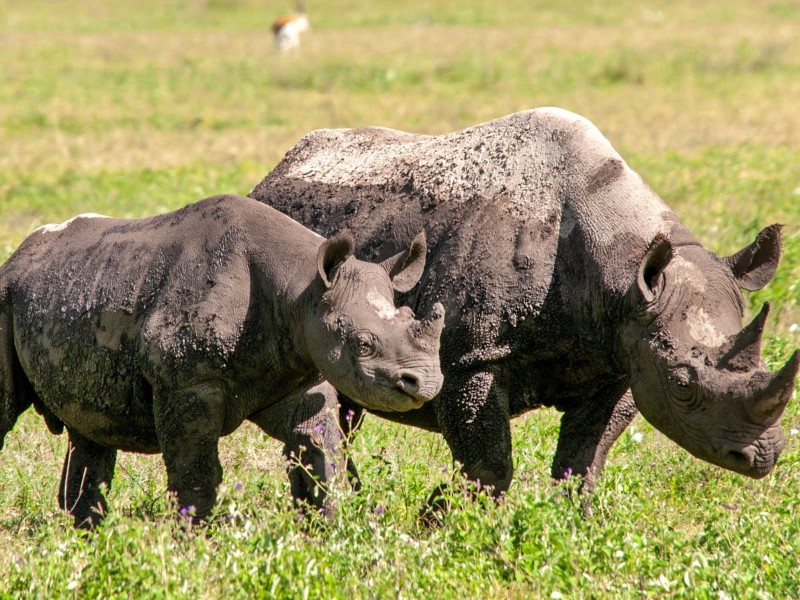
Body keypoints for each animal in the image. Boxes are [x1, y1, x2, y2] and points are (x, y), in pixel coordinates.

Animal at [0, 194, 445, 527]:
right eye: (363, 344)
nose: (425, 383)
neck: (301, 290)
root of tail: (18, 255)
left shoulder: (299, 373)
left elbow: (319, 457)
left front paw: (328, 534)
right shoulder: (186, 383)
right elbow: (197, 473)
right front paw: (194, 542)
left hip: (81, 287)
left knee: (91, 428)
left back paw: (87, 538)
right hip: (8, 292)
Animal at [250, 107, 800, 514]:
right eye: (683, 384)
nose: (763, 456)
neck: (623, 274)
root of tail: (271, 176)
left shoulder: (619, 353)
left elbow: (583, 463)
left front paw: (573, 529)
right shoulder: (471, 356)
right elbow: (489, 466)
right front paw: (442, 522)